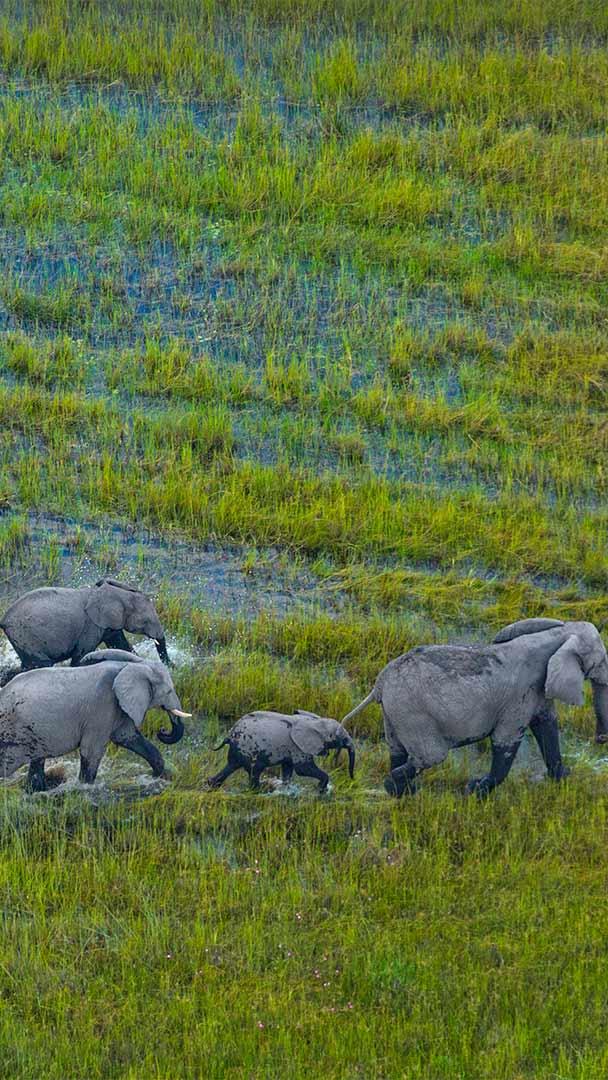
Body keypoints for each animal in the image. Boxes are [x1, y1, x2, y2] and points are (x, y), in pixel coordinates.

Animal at [0, 578, 170, 674]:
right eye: (146, 621)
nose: (171, 667)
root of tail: (4, 620)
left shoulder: (109, 624)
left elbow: (121, 646)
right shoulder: (91, 626)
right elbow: (80, 658)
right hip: (25, 636)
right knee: (40, 665)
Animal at [0, 648, 190, 792]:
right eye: (169, 691)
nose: (162, 731)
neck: (129, 667)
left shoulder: (116, 709)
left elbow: (127, 737)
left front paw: (157, 776)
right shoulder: (102, 708)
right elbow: (92, 750)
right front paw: (84, 788)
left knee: (36, 758)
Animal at [207, 709, 356, 793]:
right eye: (342, 738)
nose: (352, 780)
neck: (316, 722)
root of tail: (229, 735)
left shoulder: (291, 748)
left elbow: (288, 768)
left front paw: (286, 789)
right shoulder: (298, 746)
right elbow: (303, 769)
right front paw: (321, 790)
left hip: (239, 748)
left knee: (232, 765)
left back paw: (211, 784)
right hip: (248, 747)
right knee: (255, 769)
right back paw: (259, 790)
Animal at [342, 618, 608, 798]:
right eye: (602, 661)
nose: (601, 739)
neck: (559, 633)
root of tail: (379, 684)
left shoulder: (538, 690)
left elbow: (547, 727)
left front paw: (563, 778)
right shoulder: (519, 696)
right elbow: (506, 741)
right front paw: (476, 791)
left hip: (394, 711)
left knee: (397, 750)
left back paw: (403, 792)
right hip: (412, 713)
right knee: (432, 756)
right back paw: (395, 787)